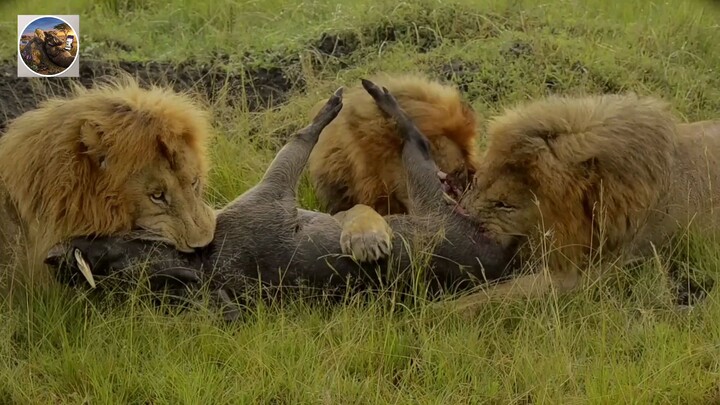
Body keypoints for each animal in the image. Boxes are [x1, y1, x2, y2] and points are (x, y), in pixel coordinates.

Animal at [445, 92, 720, 315]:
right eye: (476, 182)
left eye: (505, 205)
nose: (460, 214)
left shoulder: (591, 271)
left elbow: (501, 294)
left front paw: (444, 312)